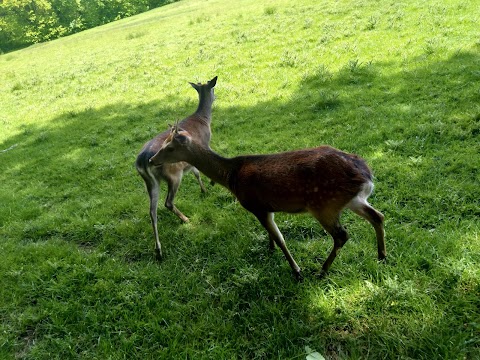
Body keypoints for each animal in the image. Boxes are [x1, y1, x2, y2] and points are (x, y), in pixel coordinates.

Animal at [135, 76, 218, 262]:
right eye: (213, 89)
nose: (216, 96)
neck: (204, 120)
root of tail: (143, 161)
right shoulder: (205, 145)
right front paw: (210, 184)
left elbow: (196, 172)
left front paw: (204, 190)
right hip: (173, 174)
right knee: (167, 202)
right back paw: (186, 219)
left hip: (150, 182)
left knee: (152, 211)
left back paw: (158, 250)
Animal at [150, 124, 386, 282]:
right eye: (165, 143)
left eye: (169, 147)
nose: (152, 160)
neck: (232, 178)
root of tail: (366, 176)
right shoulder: (266, 208)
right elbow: (271, 235)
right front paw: (270, 249)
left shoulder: (255, 205)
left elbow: (281, 239)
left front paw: (296, 271)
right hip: (352, 200)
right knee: (378, 216)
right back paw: (381, 256)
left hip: (323, 204)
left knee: (342, 235)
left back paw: (321, 271)